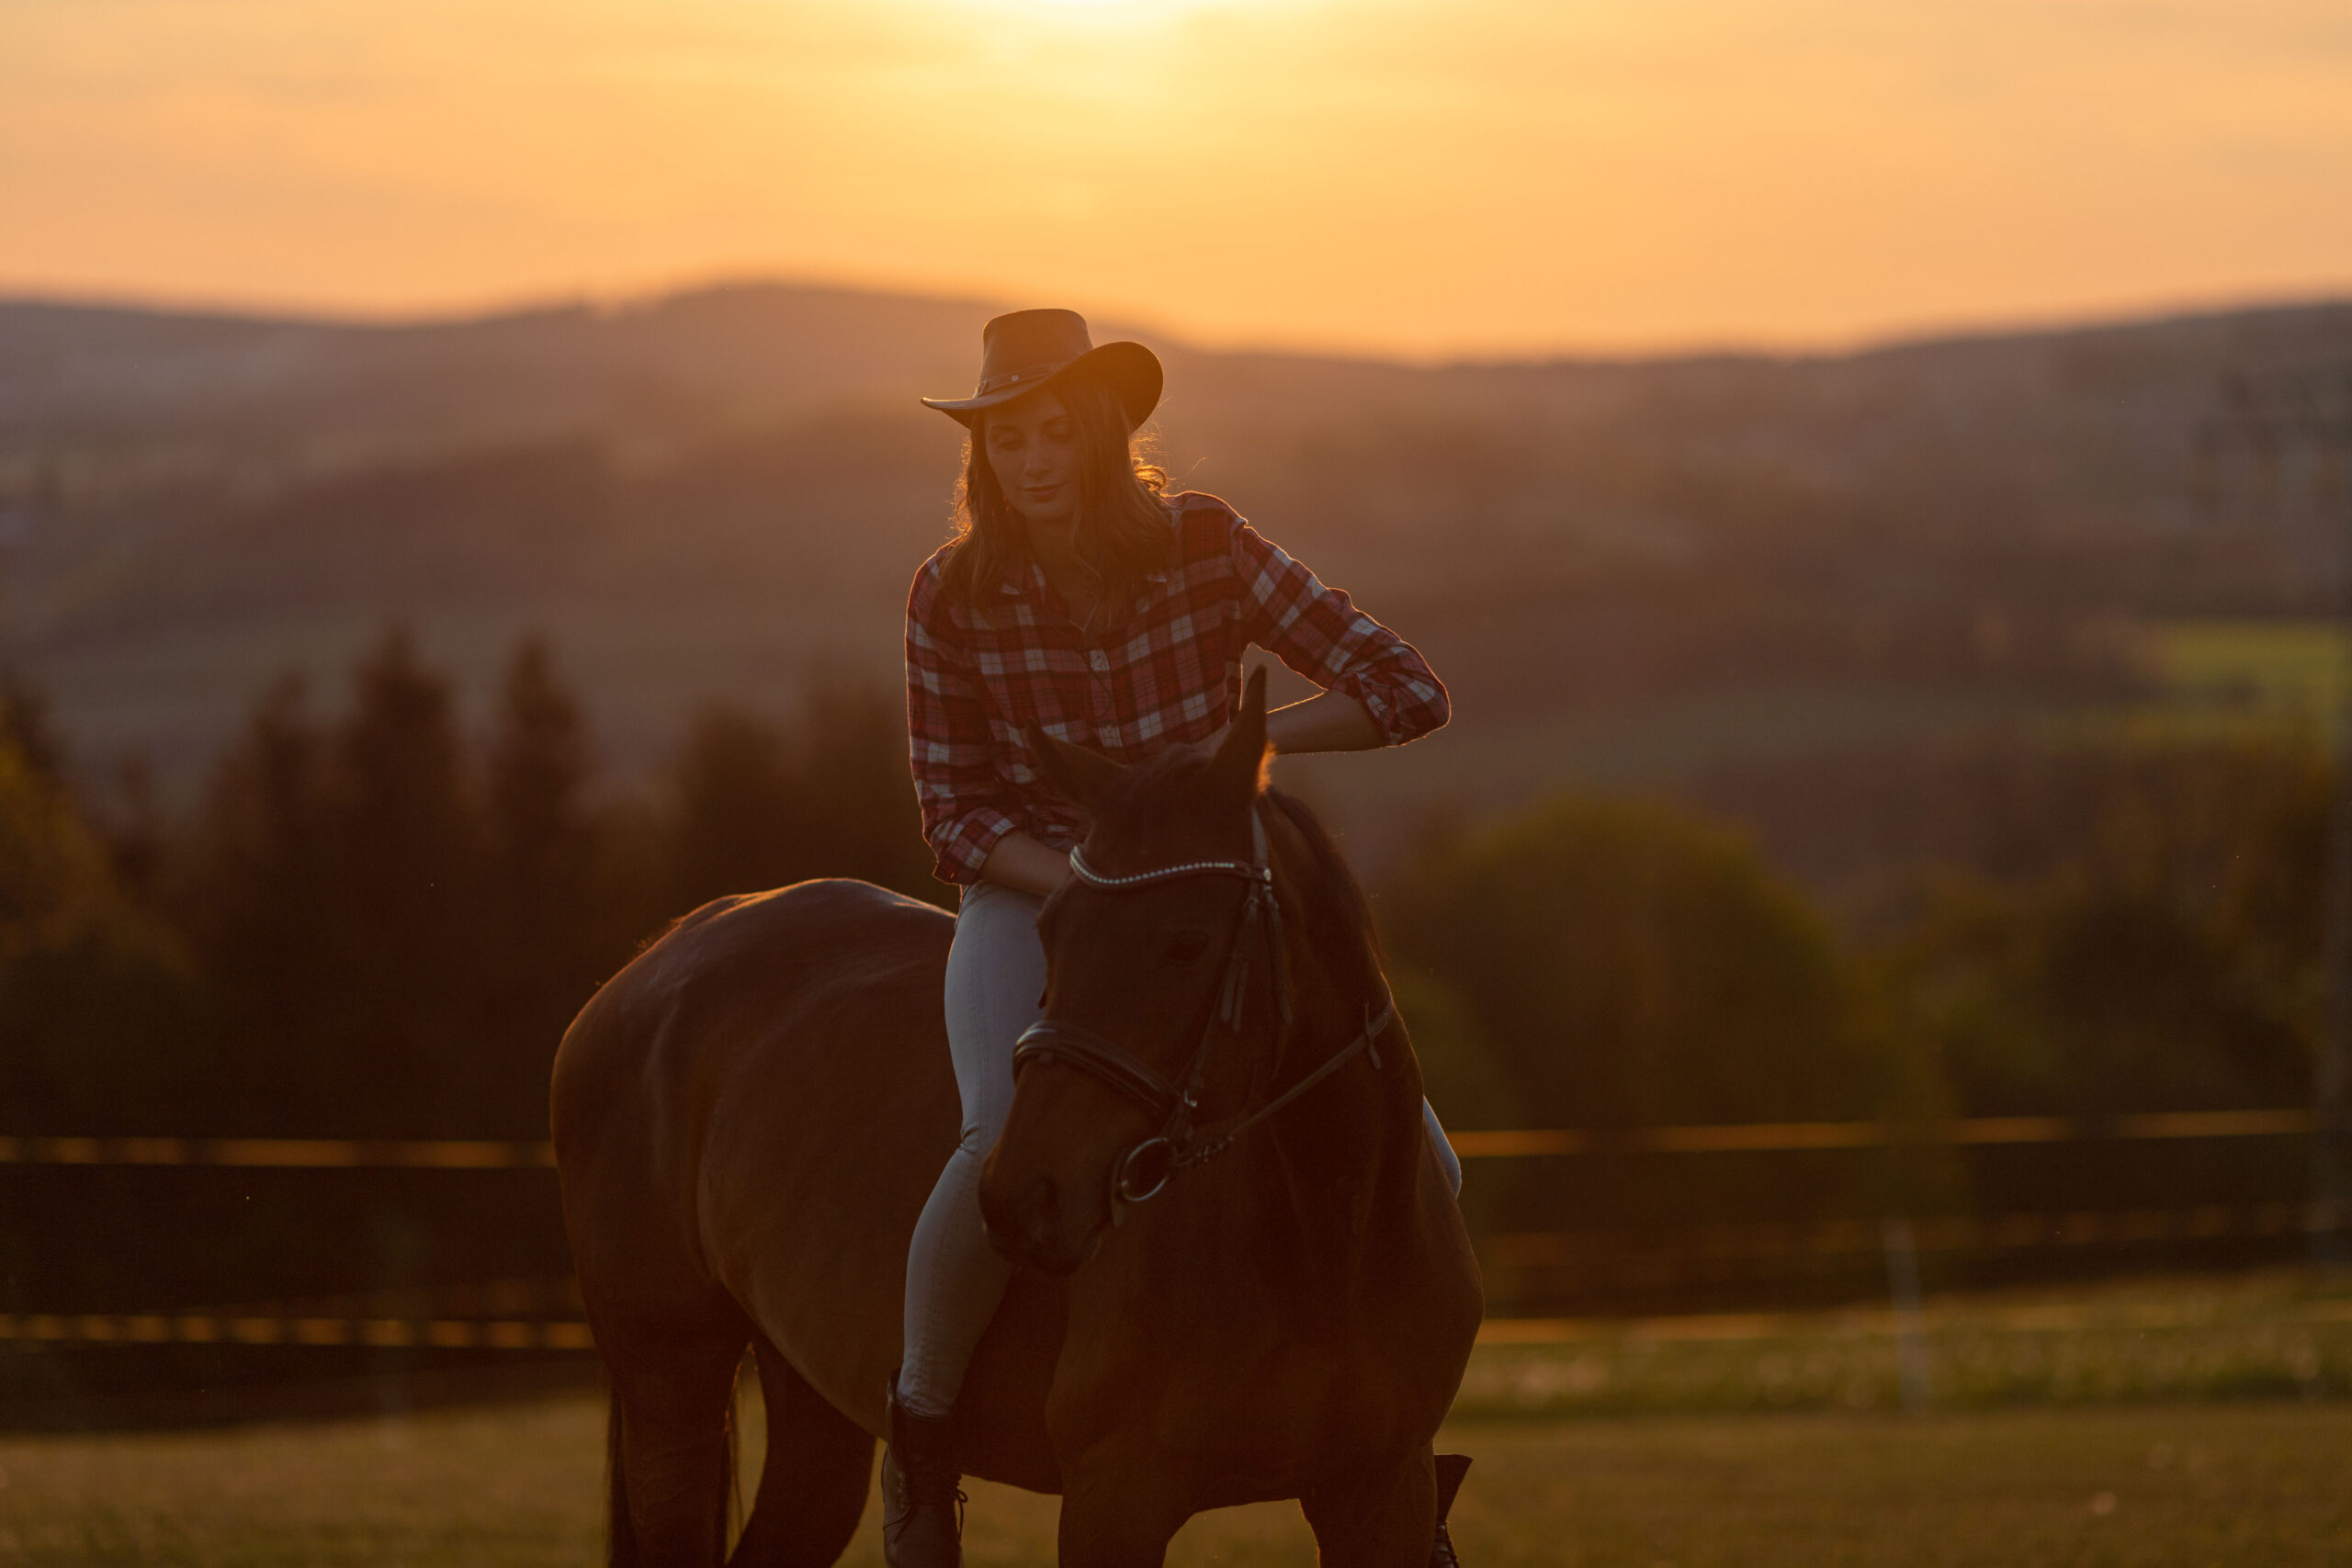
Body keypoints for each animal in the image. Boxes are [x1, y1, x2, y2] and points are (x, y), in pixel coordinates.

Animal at [552, 667, 1476, 1561]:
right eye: (1053, 928)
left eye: (1187, 941)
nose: (1025, 1198)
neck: (1325, 1231)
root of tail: (649, 966)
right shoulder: (1116, 1500)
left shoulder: (1380, 1490)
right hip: (672, 1386)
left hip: (811, 1403)